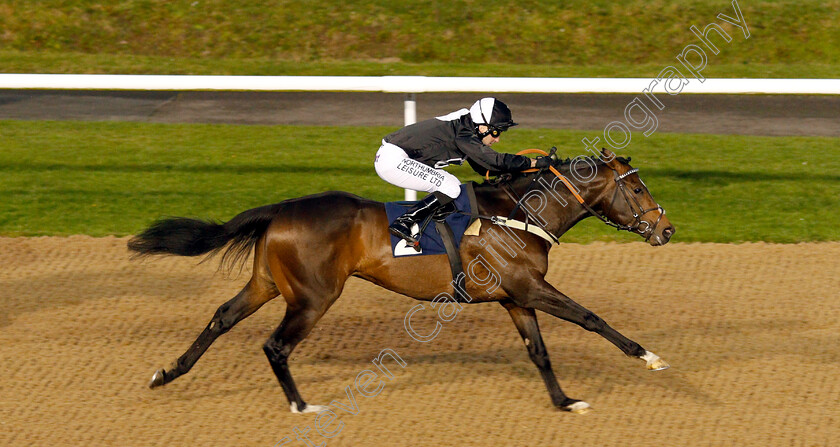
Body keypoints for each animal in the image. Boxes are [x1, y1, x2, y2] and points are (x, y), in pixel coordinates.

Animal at [128, 149, 672, 414]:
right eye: (638, 189)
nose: (666, 229)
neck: (520, 213)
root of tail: (281, 209)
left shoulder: (515, 297)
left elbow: (538, 350)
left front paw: (564, 401)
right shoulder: (528, 288)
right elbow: (589, 317)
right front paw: (649, 357)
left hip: (268, 284)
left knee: (221, 317)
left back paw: (167, 373)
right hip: (313, 297)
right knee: (275, 346)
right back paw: (302, 406)